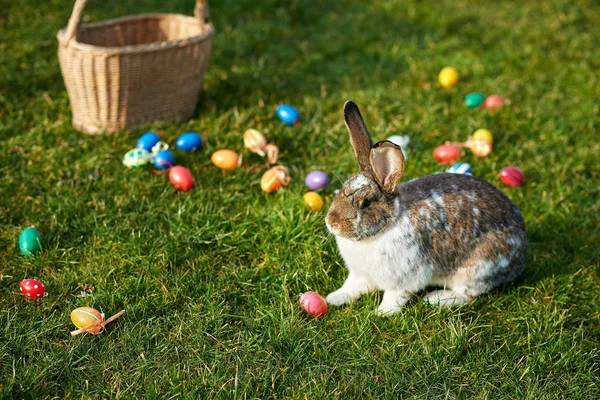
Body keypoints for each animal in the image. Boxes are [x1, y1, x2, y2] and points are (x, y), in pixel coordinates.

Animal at [326, 101, 528, 316]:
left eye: (366, 203)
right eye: (342, 189)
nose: (331, 223)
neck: (387, 226)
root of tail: (521, 253)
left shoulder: (404, 279)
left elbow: (394, 297)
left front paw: (382, 313)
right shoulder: (359, 275)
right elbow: (352, 287)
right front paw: (334, 298)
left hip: (476, 269)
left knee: (467, 294)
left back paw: (435, 299)